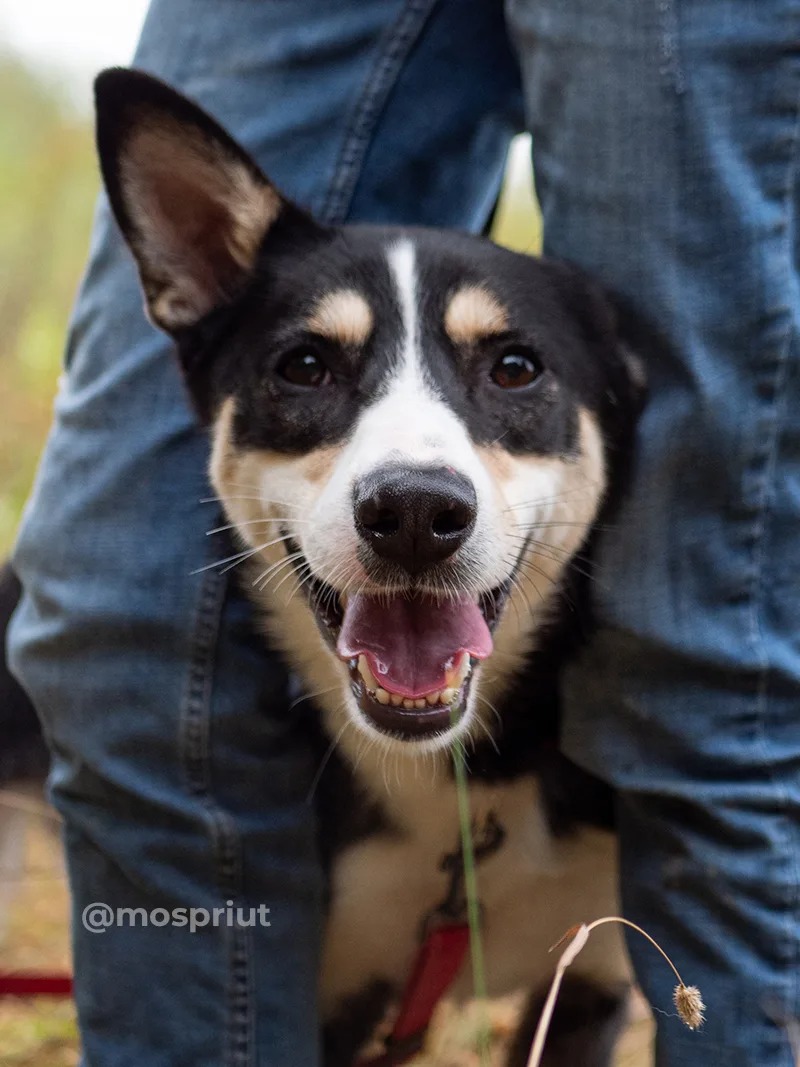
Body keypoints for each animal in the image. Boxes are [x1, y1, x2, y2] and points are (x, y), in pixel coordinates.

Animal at [84, 68, 644, 1067]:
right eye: (305, 365)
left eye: (514, 368)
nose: (415, 513)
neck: (459, 790)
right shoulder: (334, 988)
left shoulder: (589, 980)